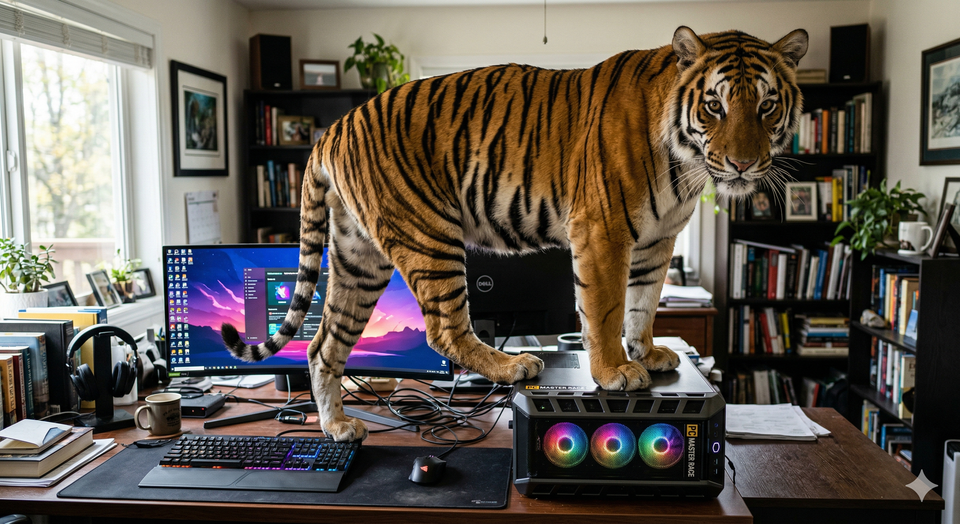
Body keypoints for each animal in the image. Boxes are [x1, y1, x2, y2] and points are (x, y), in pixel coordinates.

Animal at [222, 26, 808, 442]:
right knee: (445, 330)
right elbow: (605, 309)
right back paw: (514, 365)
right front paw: (614, 371)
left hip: (357, 257)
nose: (742, 164)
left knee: (322, 345)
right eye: (714, 105)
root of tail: (331, 129)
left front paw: (645, 353)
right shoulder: (603, 231)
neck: (685, 163)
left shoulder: (655, 242)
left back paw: (338, 426)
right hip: (430, 234)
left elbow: (643, 304)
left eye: (767, 105)